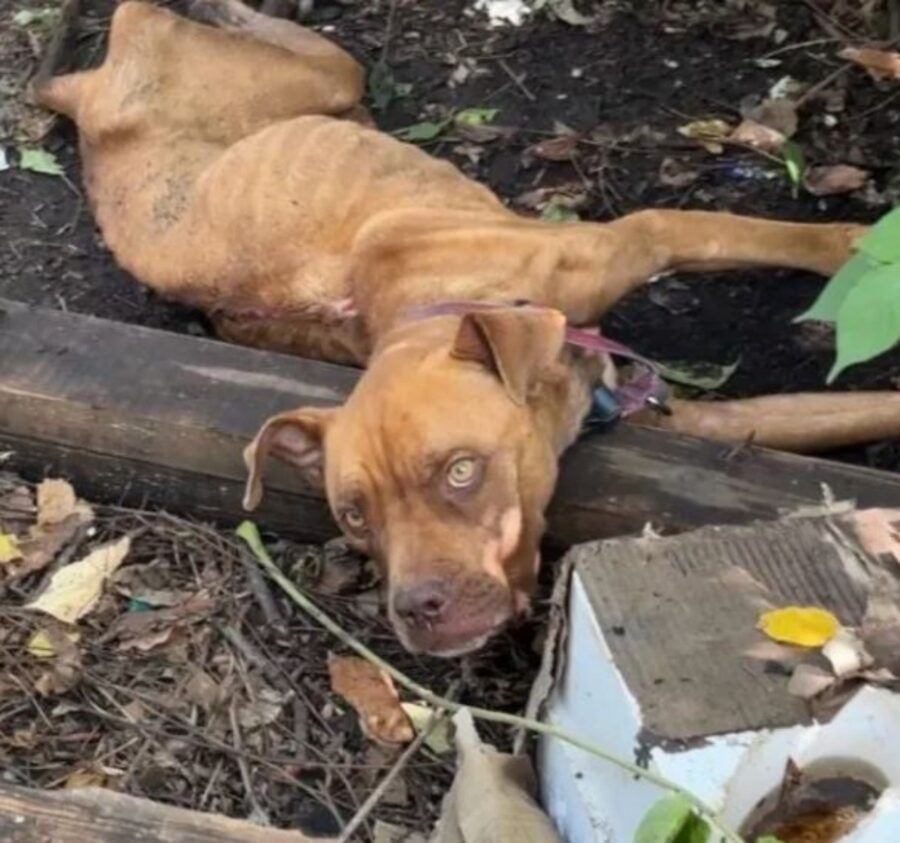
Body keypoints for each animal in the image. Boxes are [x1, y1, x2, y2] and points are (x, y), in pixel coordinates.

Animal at [37, 0, 900, 656]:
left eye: (460, 470)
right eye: (354, 515)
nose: (417, 606)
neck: (424, 306)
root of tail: (85, 94)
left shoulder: (661, 305)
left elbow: (766, 251)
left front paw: (859, 245)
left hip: (316, 72)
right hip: (305, 75)